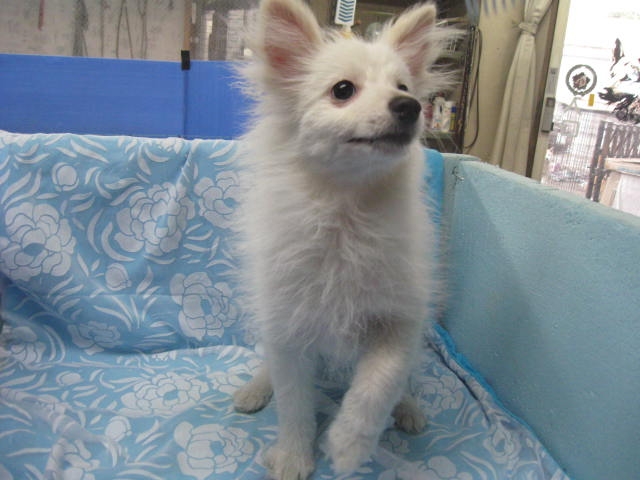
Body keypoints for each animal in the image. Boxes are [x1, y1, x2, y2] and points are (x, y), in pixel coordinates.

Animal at [233, 1, 453, 478]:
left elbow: (380, 382)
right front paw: (293, 456)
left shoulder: (399, 320)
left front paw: (350, 443)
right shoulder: (290, 332)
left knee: (406, 377)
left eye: (404, 87)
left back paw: (407, 408)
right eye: (343, 90)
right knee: (270, 368)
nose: (410, 106)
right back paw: (256, 389)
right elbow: (294, 405)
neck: (345, 213)